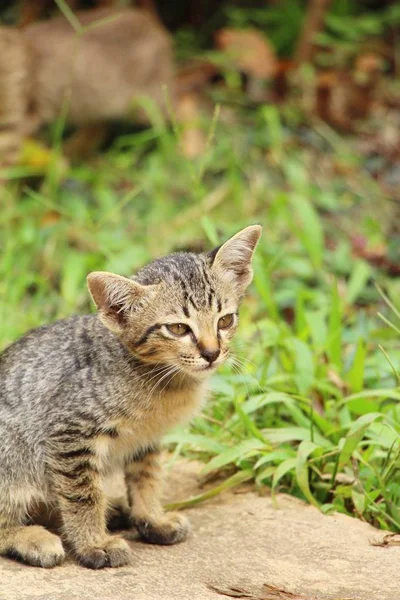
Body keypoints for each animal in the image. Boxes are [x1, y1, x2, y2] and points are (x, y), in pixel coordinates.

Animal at [0, 225, 262, 568]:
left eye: (225, 320)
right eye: (178, 329)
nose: (211, 353)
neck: (163, 380)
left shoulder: (145, 439)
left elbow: (146, 478)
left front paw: (151, 519)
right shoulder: (69, 434)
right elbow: (83, 495)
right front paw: (94, 543)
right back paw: (33, 538)